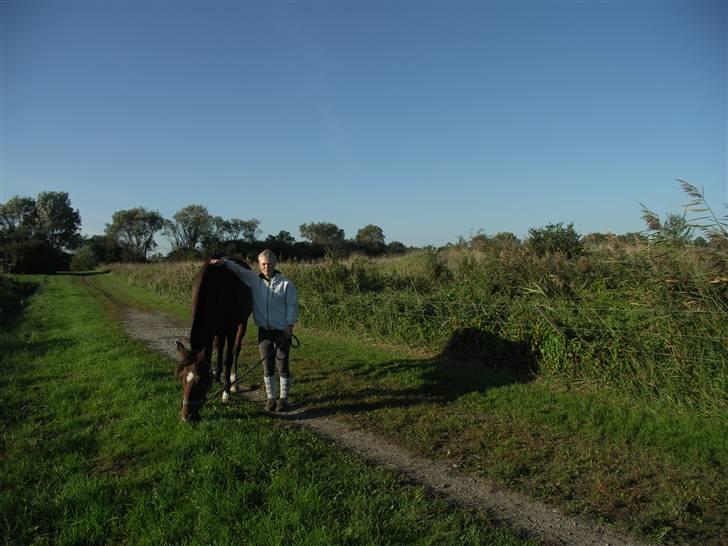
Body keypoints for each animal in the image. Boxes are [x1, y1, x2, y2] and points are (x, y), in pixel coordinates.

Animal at [176, 258, 253, 418]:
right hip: (218, 329)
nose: (186, 416)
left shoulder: (231, 328)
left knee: (235, 350)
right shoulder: (211, 329)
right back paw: (218, 377)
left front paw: (226, 393)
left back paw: (233, 382)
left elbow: (228, 358)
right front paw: (212, 384)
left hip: (242, 323)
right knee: (220, 345)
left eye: (200, 380)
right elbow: (210, 354)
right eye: (180, 377)